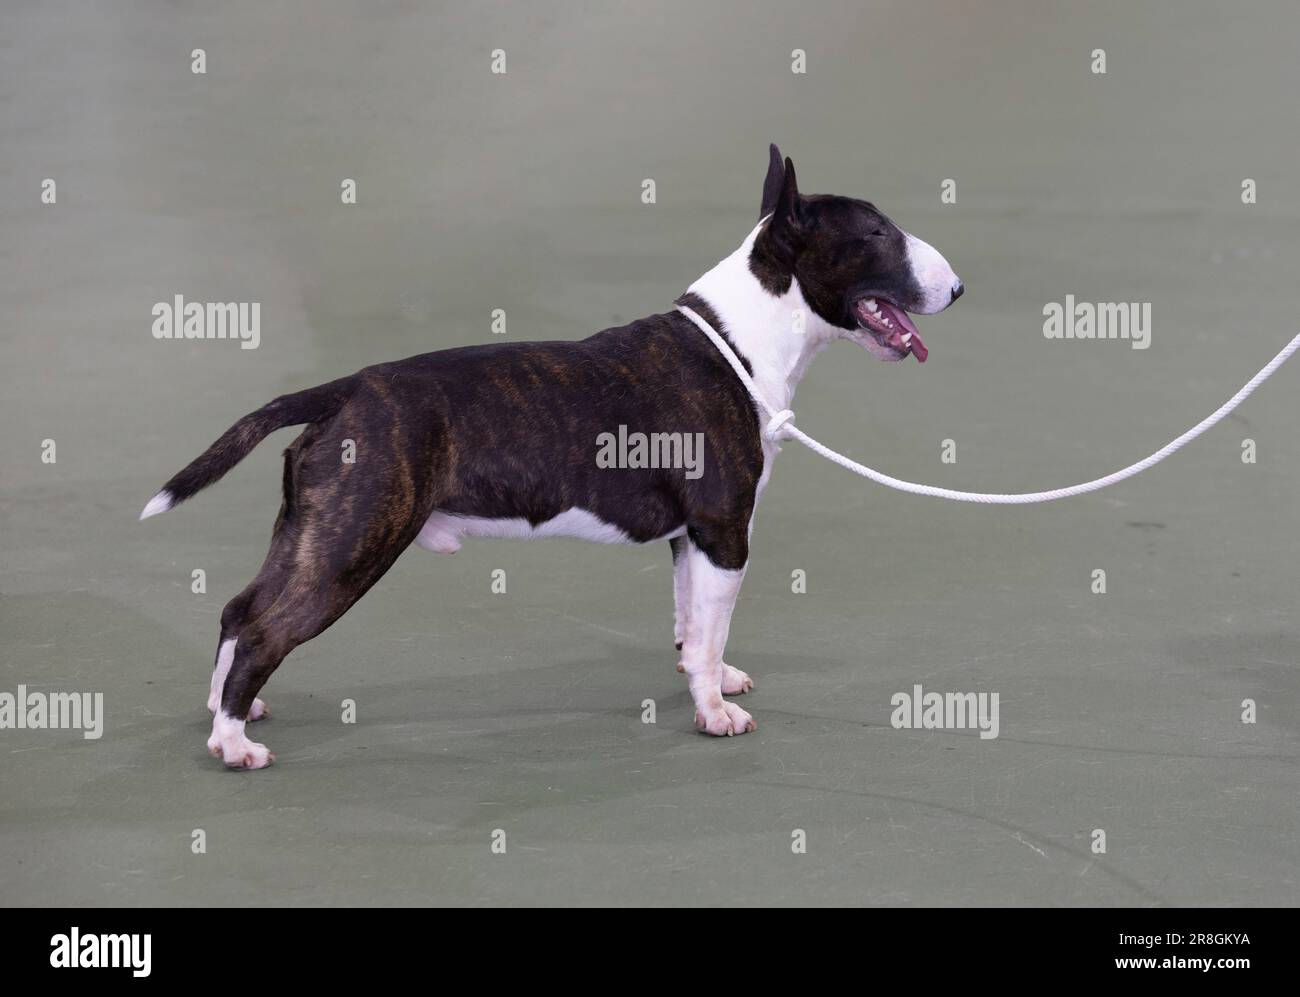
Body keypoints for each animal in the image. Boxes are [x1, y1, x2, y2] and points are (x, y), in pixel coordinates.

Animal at [139, 146, 967, 769]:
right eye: (878, 234)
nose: (958, 288)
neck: (745, 334)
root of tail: (345, 388)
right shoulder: (724, 530)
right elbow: (710, 626)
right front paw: (714, 712)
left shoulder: (690, 537)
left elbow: (693, 622)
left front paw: (711, 679)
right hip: (354, 541)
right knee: (267, 627)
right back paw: (232, 744)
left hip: (312, 527)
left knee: (240, 608)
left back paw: (227, 708)